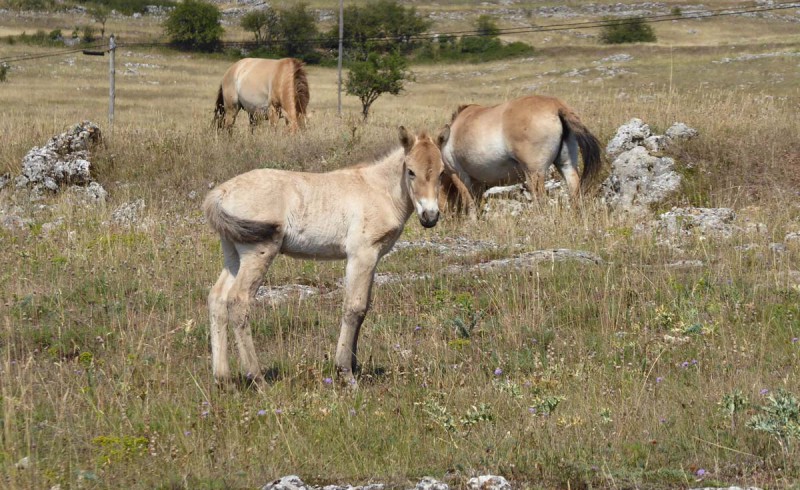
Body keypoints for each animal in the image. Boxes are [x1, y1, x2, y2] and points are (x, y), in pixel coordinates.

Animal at [203, 125, 450, 382]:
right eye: (410, 171)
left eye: (442, 173)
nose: (430, 216)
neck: (379, 190)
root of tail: (221, 192)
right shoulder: (361, 254)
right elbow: (354, 308)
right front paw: (346, 372)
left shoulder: (373, 258)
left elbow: (363, 308)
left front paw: (354, 365)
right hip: (258, 253)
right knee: (238, 300)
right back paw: (257, 377)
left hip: (233, 254)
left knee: (217, 297)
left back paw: (222, 378)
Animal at [440, 94, 604, 213]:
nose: (439, 212)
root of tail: (556, 107)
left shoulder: (458, 174)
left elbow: (470, 203)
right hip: (566, 165)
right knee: (574, 189)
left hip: (534, 173)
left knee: (540, 198)